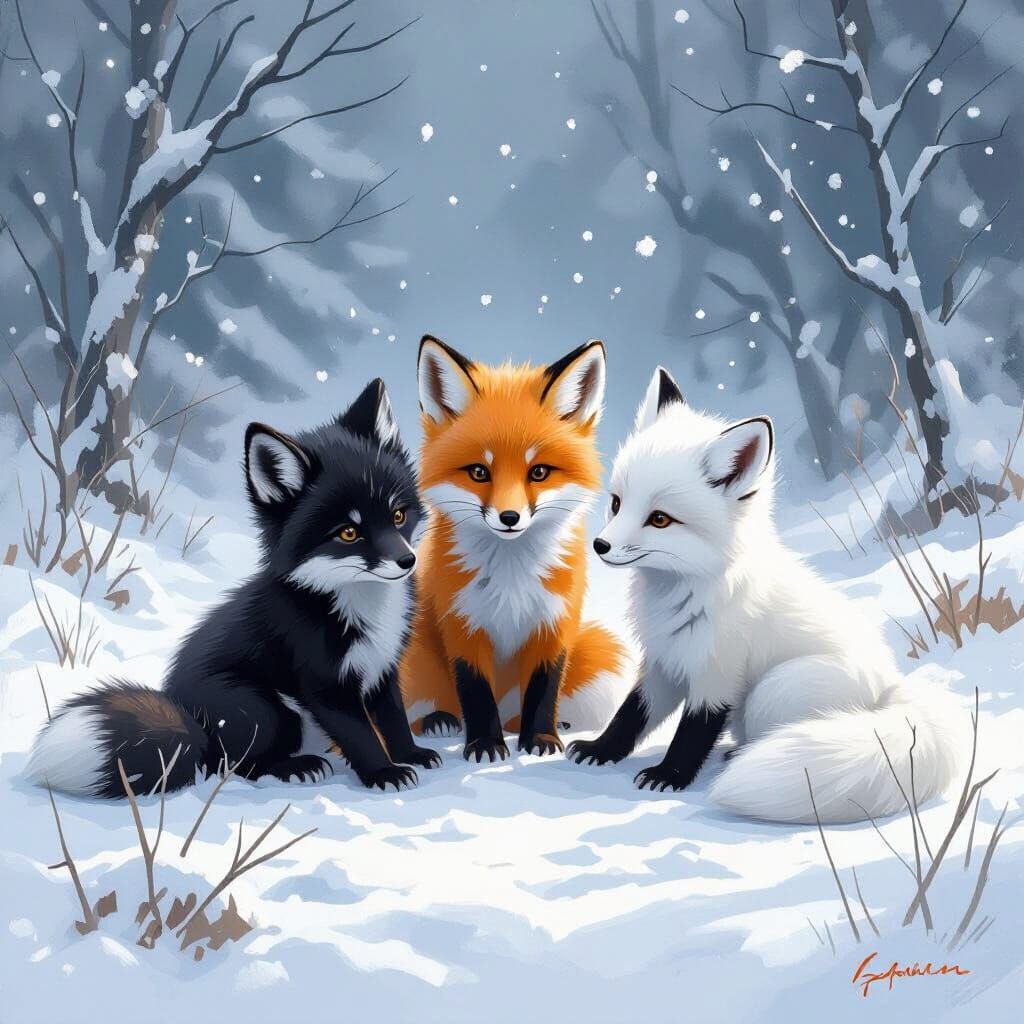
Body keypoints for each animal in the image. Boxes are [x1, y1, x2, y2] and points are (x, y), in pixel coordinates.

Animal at [26, 379, 441, 798]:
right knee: (236, 766)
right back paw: (296, 767)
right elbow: (362, 736)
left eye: (398, 516)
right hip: (265, 708)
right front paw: (384, 773)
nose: (407, 562)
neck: (354, 603)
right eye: (349, 533)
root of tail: (190, 724)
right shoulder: (326, 685)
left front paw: (412, 755)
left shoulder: (383, 668)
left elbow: (393, 720)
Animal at [400, 335, 628, 762]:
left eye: (538, 472)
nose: (509, 517)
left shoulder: (555, 623)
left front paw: (540, 739)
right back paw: (439, 720)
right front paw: (484, 745)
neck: (511, 577)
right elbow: (475, 693)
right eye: (479, 472)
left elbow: (543, 690)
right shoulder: (463, 623)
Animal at [568, 366, 963, 824]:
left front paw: (669, 775)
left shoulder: (716, 673)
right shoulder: (664, 662)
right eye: (616, 503)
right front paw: (600, 749)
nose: (600, 546)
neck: (680, 595)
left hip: (768, 694)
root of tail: (892, 692)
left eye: (660, 519)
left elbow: (692, 732)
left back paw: (744, 756)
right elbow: (631, 714)